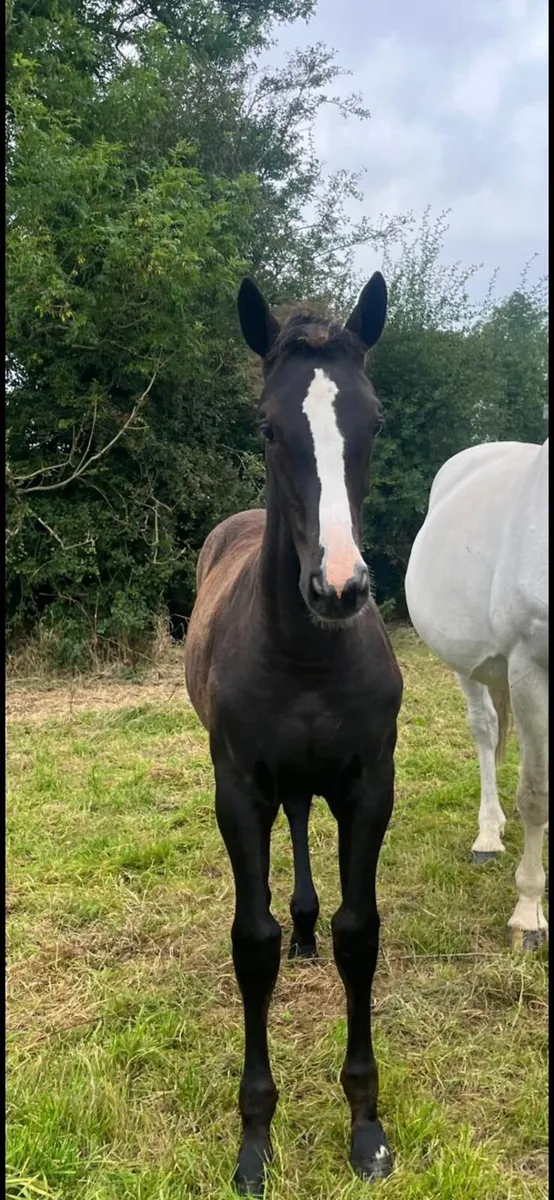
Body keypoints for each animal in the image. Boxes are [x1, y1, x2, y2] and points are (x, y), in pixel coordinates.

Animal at [405, 439, 548, 951]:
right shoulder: (530, 667)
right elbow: (536, 793)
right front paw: (528, 915)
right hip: (468, 664)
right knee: (485, 730)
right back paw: (488, 835)